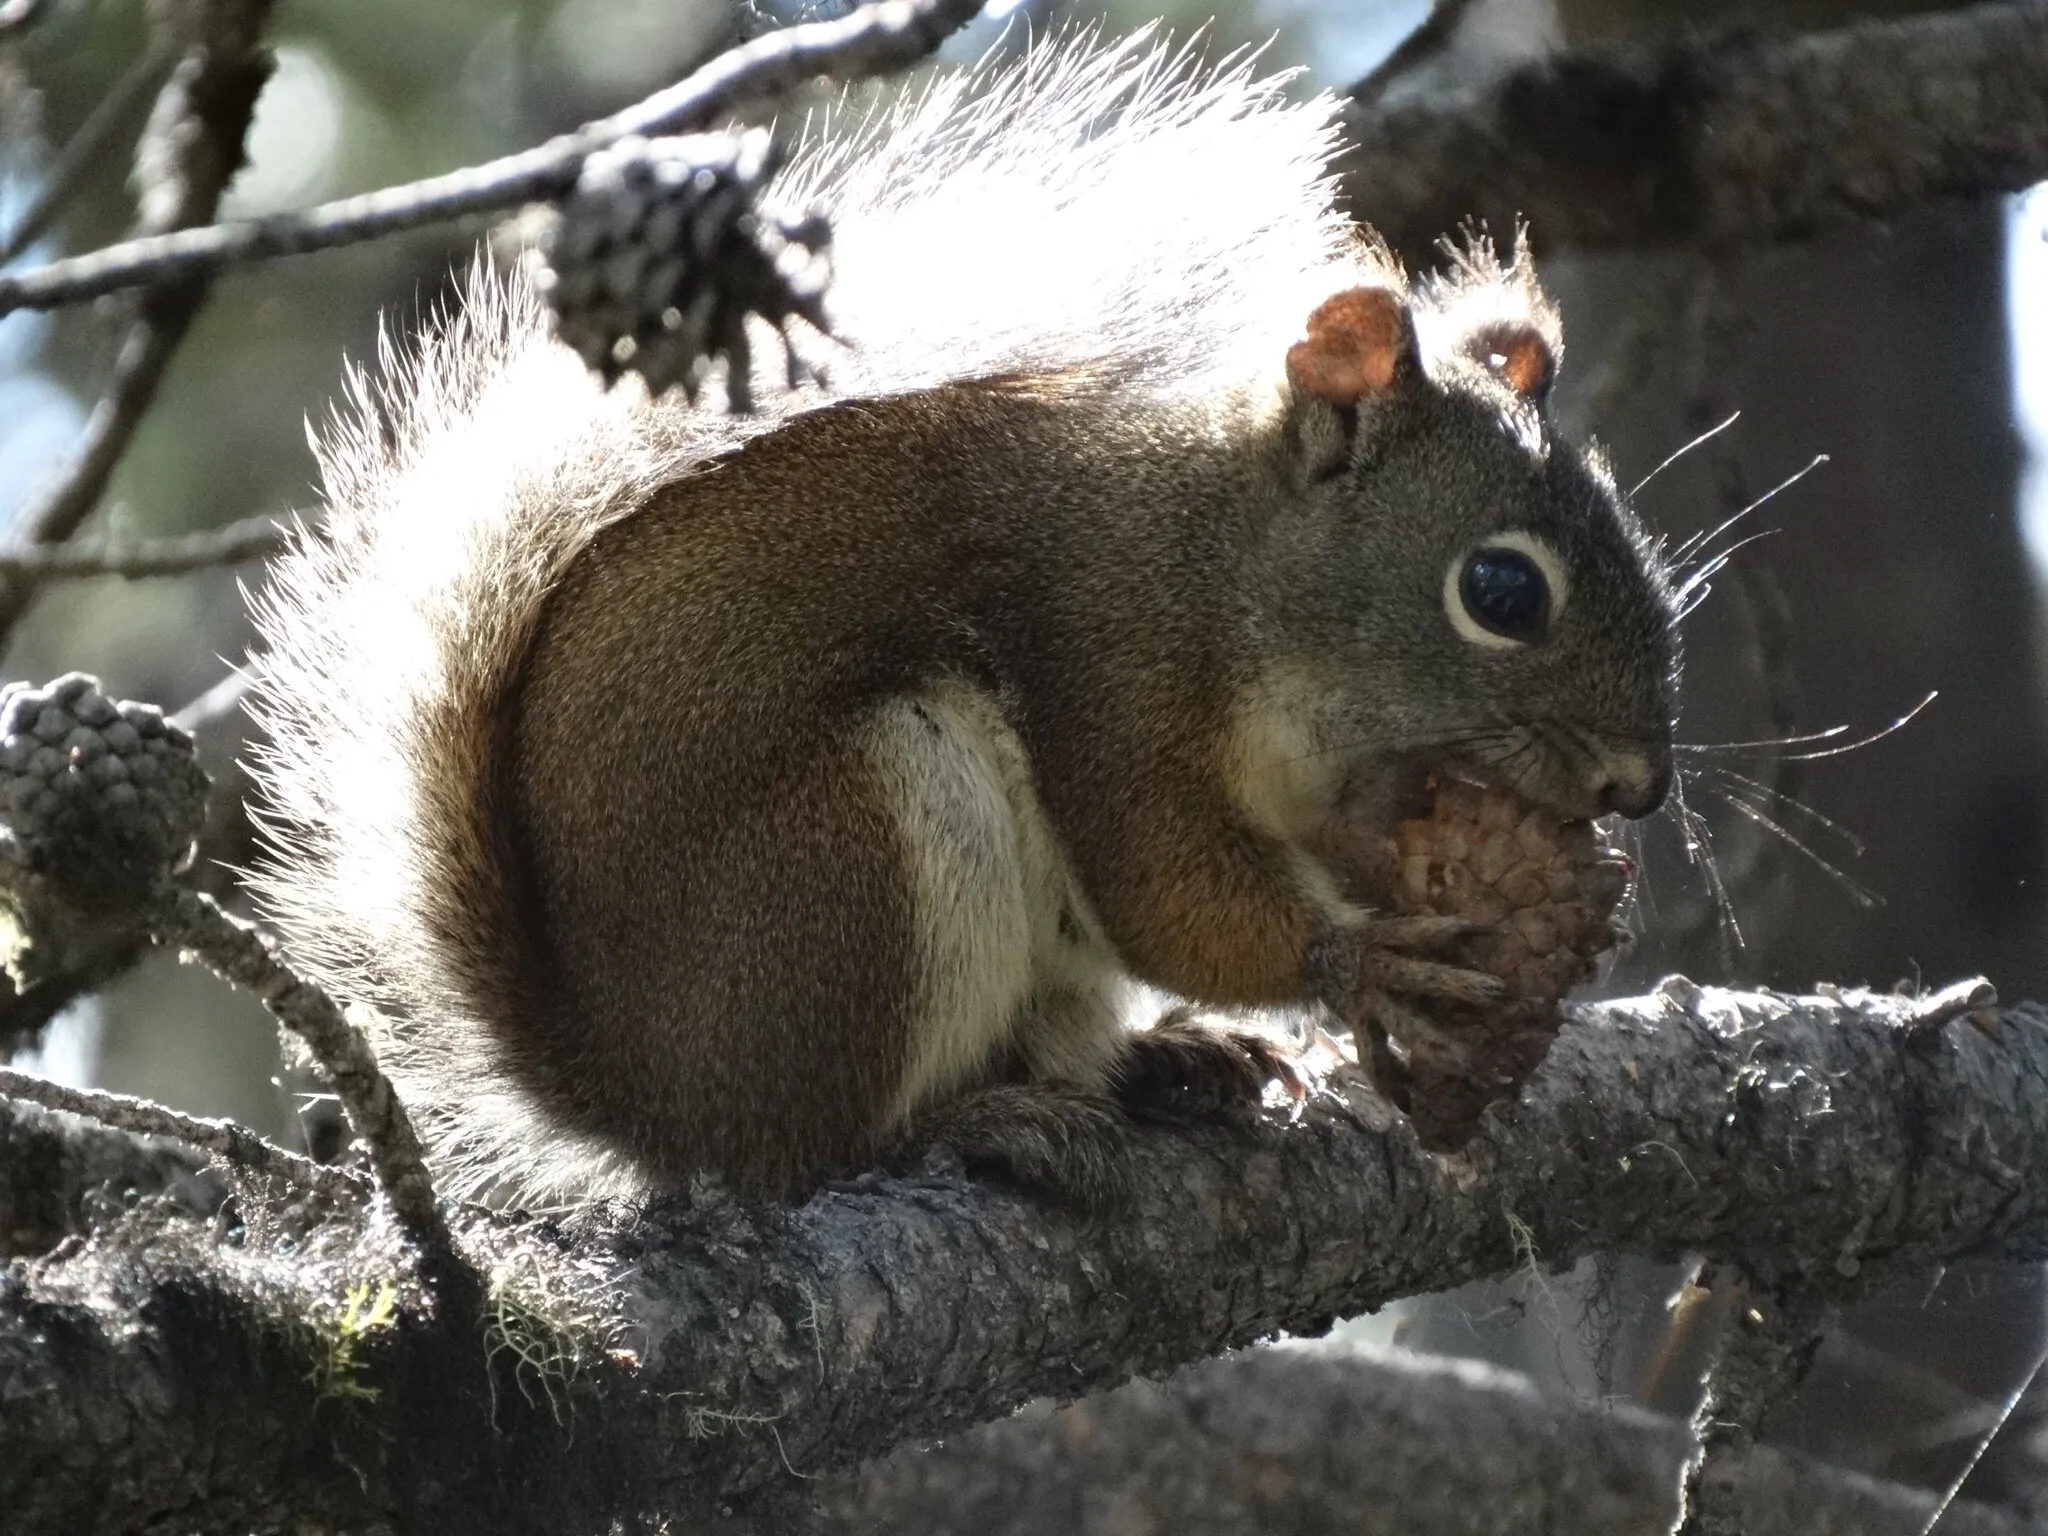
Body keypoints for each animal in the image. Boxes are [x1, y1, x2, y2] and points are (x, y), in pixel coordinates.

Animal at [247, 37, 1678, 1209]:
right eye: (1500, 591)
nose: (1641, 787)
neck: (1232, 565)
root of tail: (644, 1095)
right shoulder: (1105, 662)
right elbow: (1169, 893)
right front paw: (1366, 965)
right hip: (862, 859)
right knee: (818, 1152)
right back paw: (979, 1126)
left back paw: (1167, 1063)